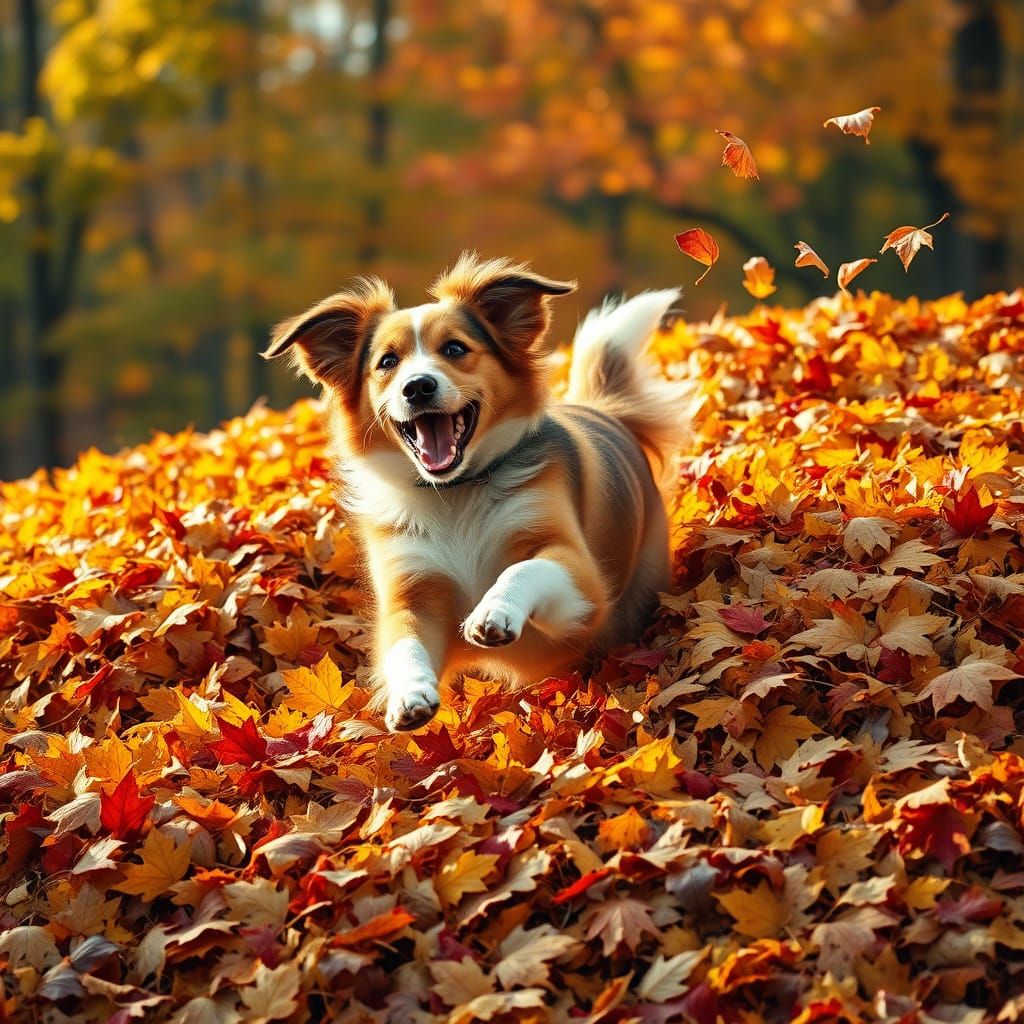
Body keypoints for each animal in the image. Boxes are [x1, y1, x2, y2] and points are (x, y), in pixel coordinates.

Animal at [264, 251, 684, 733]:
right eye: (387, 362)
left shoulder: (582, 581)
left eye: (454, 349)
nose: (418, 386)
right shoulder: (410, 594)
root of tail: (605, 411)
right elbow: (403, 643)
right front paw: (409, 693)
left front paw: (493, 609)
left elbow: (524, 569)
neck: (455, 494)